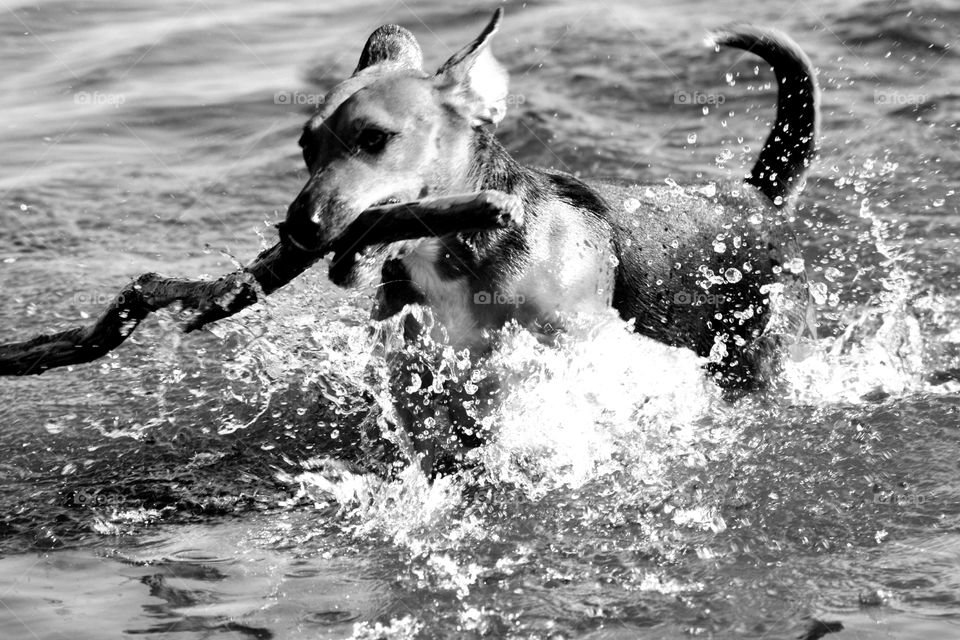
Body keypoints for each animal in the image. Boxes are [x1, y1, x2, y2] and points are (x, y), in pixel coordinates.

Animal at [284, 7, 816, 472]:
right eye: (307, 146)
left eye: (374, 138)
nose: (298, 225)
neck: (455, 257)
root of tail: (756, 197)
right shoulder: (412, 358)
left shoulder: (576, 338)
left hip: (759, 352)